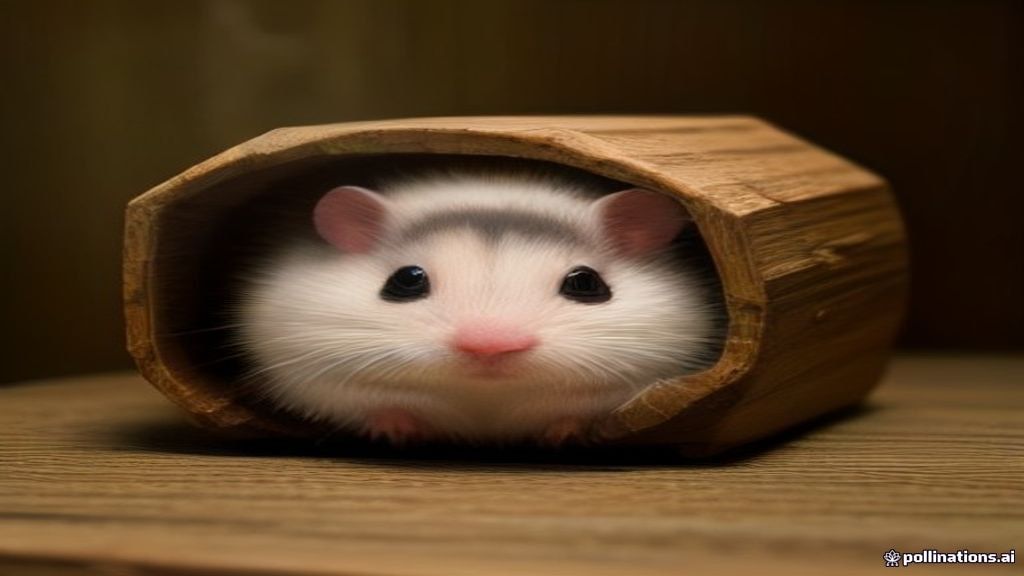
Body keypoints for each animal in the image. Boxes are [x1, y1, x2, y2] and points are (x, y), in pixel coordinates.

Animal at [233, 171, 725, 446]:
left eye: (587, 284)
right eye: (405, 281)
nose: (489, 348)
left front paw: (563, 435)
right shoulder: (313, 376)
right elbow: (378, 405)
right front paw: (395, 432)